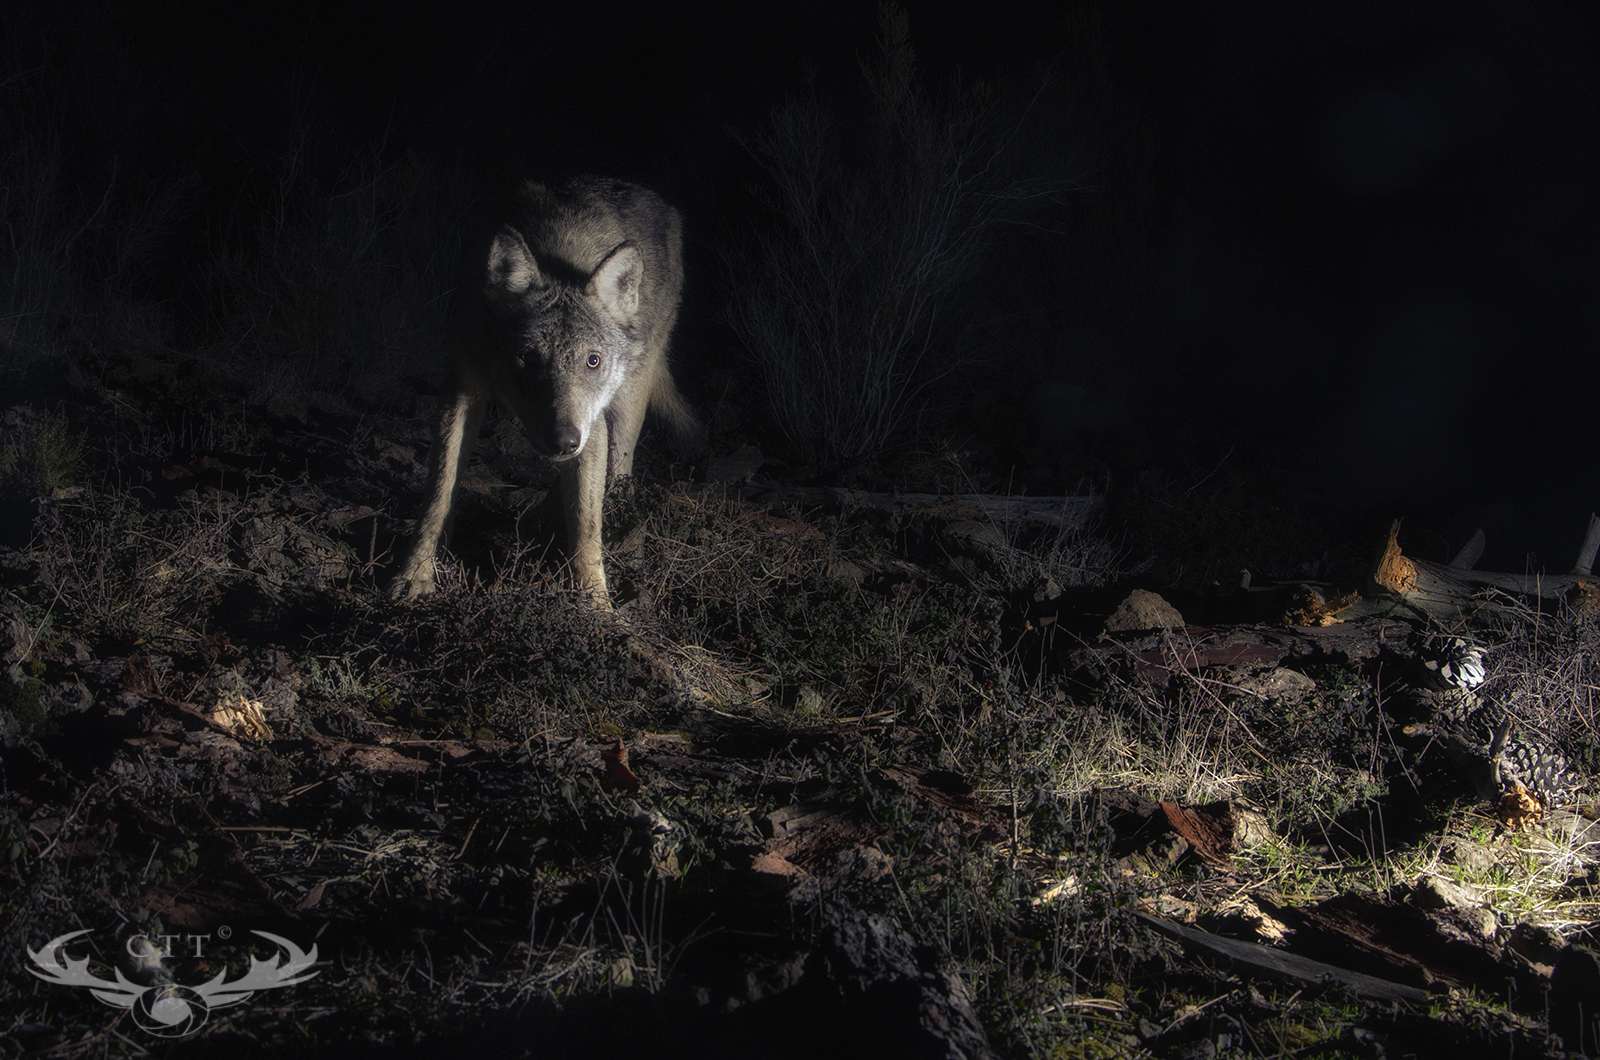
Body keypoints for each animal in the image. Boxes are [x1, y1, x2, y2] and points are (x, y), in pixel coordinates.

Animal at [392, 177, 697, 605]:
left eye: (592, 361)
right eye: (528, 358)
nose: (563, 441)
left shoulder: (591, 419)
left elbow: (587, 523)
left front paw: (595, 606)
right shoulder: (461, 389)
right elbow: (439, 492)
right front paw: (415, 575)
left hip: (625, 404)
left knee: (617, 476)